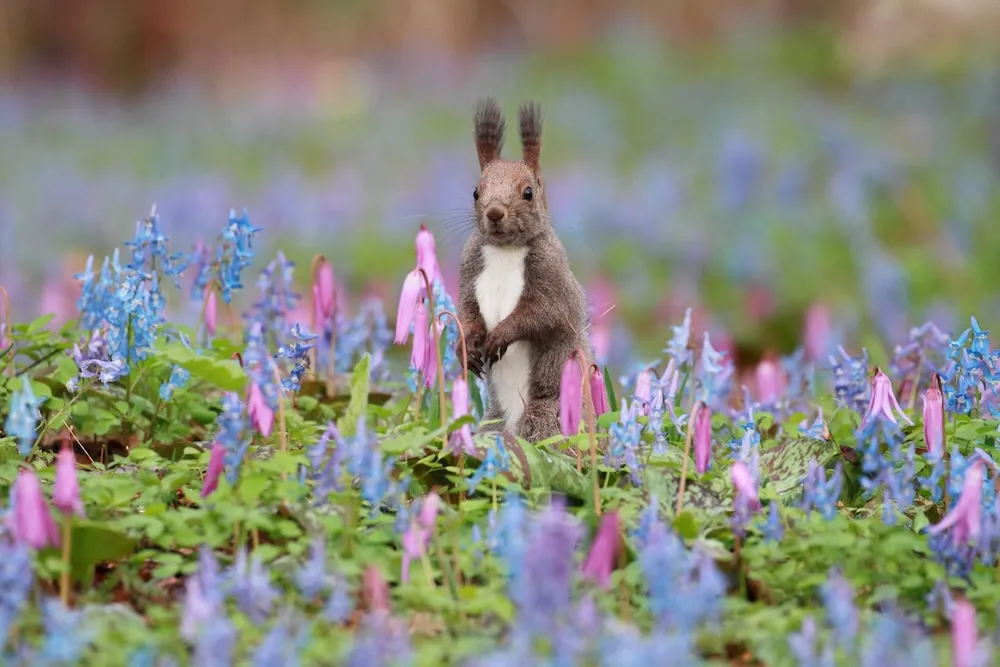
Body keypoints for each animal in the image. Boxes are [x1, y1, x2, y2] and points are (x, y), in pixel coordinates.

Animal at [458, 98, 592, 444]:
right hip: (493, 423)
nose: (494, 213)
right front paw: (465, 344)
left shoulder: (552, 275)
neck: (505, 251)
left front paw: (501, 335)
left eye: (528, 192)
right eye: (475, 192)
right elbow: (465, 310)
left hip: (549, 417)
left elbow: (544, 314)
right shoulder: (469, 270)